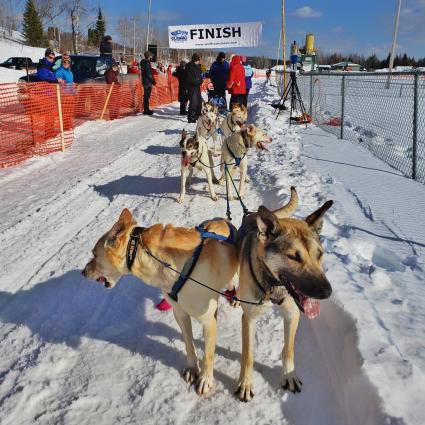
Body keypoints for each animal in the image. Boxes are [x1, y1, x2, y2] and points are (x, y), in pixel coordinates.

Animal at [81, 209, 237, 394]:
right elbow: (189, 344)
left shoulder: (208, 321)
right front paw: (193, 369)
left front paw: (205, 379)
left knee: (232, 283)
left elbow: (208, 354)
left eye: (94, 254)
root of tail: (223, 219)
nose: (83, 272)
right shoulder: (181, 314)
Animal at [234, 186, 332, 400]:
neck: (274, 286)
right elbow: (248, 356)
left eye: (320, 254)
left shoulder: (292, 313)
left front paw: (289, 376)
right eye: (293, 257)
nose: (327, 292)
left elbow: (288, 350)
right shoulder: (249, 318)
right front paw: (245, 383)